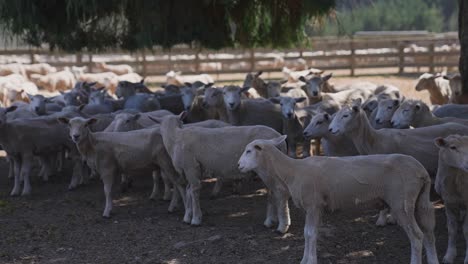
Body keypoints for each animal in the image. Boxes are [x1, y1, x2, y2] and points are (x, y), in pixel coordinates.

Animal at [161, 113, 292, 231]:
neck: (176, 138)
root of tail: (279, 138)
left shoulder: (191, 167)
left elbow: (194, 191)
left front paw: (196, 219)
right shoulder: (190, 171)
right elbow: (188, 191)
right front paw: (187, 216)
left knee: (275, 192)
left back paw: (273, 222)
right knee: (273, 192)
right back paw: (273, 220)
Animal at [238, 135, 438, 264]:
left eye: (248, 151)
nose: (239, 165)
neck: (292, 171)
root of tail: (421, 171)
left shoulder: (313, 205)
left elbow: (308, 233)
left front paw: (309, 261)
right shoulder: (318, 208)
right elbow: (312, 234)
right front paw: (306, 259)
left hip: (401, 203)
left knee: (417, 236)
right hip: (419, 202)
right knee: (428, 232)